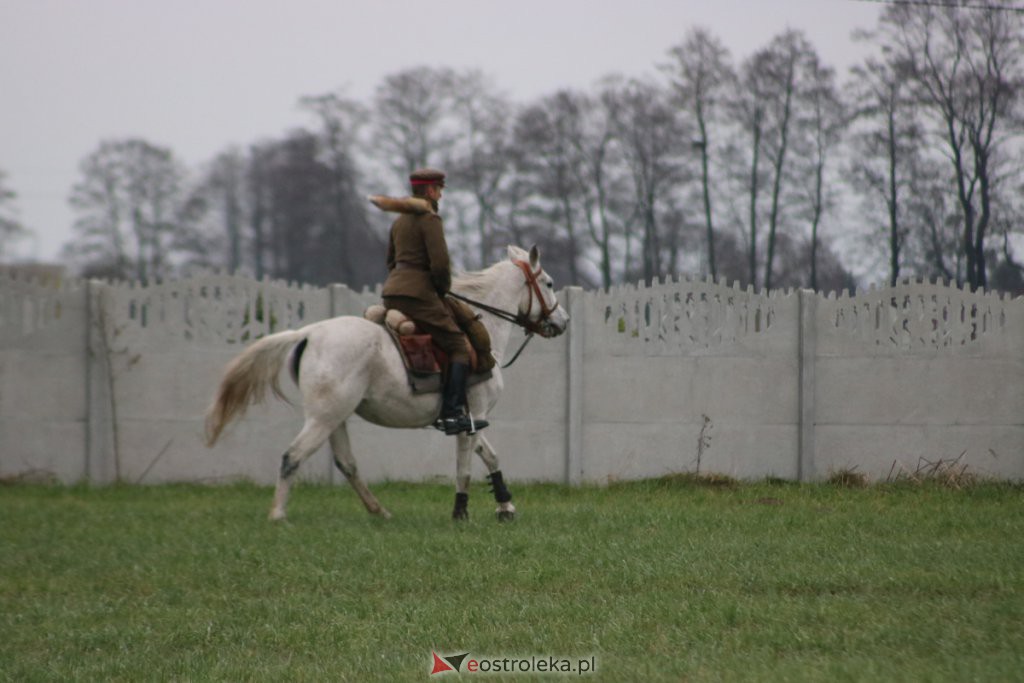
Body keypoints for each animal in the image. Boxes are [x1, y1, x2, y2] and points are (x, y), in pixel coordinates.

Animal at [199, 246, 569, 524]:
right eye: (550, 283)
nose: (563, 321)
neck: (484, 329)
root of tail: (310, 332)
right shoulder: (475, 414)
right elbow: (465, 467)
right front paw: (461, 512)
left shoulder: (469, 419)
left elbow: (490, 457)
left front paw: (505, 505)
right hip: (323, 419)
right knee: (293, 456)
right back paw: (278, 515)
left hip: (335, 419)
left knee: (347, 464)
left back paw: (379, 511)